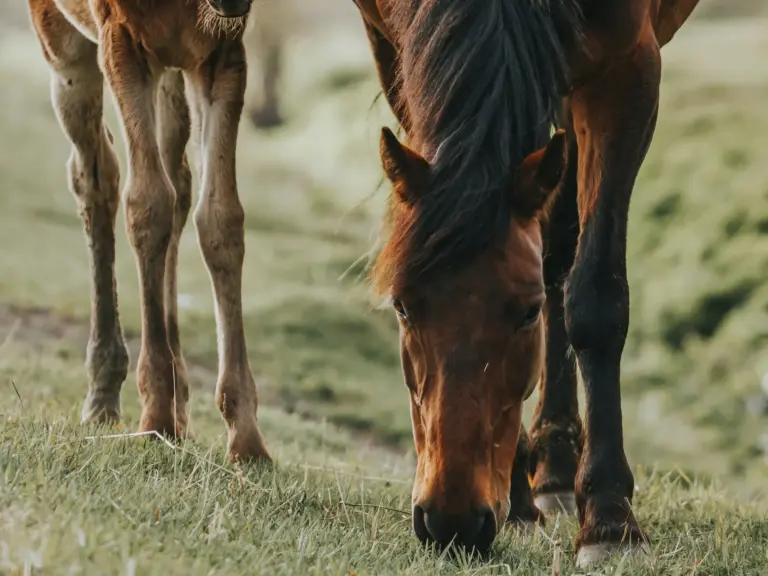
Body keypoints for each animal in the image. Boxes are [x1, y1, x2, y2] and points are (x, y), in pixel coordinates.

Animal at [27, 0, 271, 463]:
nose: (230, 3)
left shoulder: (221, 54)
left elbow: (221, 218)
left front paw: (247, 437)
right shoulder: (122, 42)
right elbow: (146, 204)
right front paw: (156, 415)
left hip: (172, 71)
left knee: (178, 180)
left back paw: (179, 401)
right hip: (65, 51)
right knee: (96, 174)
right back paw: (105, 395)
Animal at [353, 0, 701, 567]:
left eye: (527, 312)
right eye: (402, 307)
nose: (451, 521)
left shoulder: (627, 72)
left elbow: (596, 295)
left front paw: (610, 521)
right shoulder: (393, 49)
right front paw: (518, 496)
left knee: (563, 246)